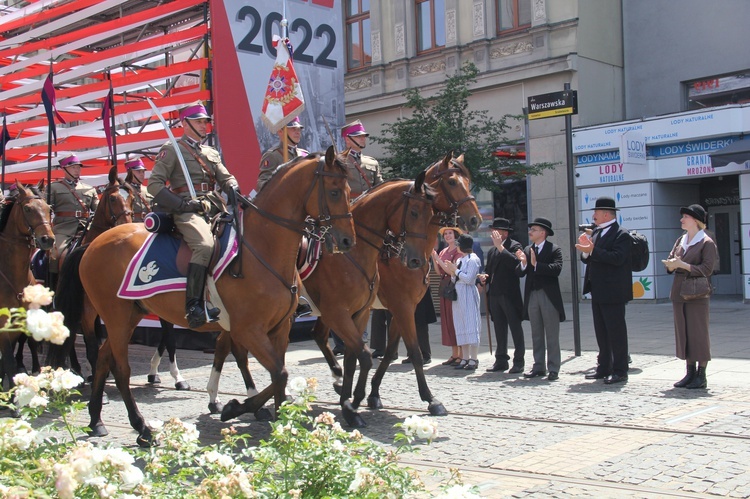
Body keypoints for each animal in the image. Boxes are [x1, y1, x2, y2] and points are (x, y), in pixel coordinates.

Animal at [72, 147, 354, 446]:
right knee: (121, 369)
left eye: (348, 190)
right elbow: (279, 373)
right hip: (116, 318)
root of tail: (94, 243)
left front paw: (280, 424)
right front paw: (238, 407)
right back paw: (142, 427)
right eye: (334, 191)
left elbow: (279, 375)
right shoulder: (248, 330)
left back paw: (96, 420)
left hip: (129, 316)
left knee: (104, 359)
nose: (348, 241)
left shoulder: (279, 328)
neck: (262, 248)